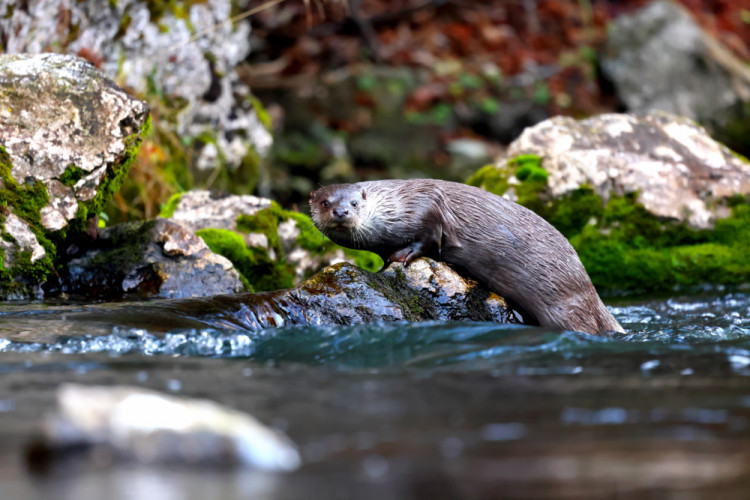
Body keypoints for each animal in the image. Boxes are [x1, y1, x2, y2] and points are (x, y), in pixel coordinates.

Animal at [308, 180, 624, 336]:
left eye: (354, 203)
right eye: (325, 202)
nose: (340, 212)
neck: (397, 204)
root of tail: (589, 287)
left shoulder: (427, 207)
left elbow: (427, 239)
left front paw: (403, 254)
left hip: (565, 307)